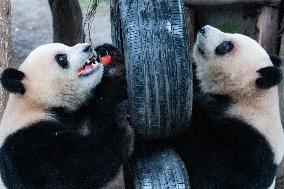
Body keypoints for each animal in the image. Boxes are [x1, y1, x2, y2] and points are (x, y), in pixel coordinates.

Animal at [0, 42, 133, 188]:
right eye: (61, 58)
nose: (88, 47)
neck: (36, 104)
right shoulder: (25, 145)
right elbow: (75, 169)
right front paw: (120, 122)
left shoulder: (79, 114)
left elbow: (103, 103)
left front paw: (111, 60)